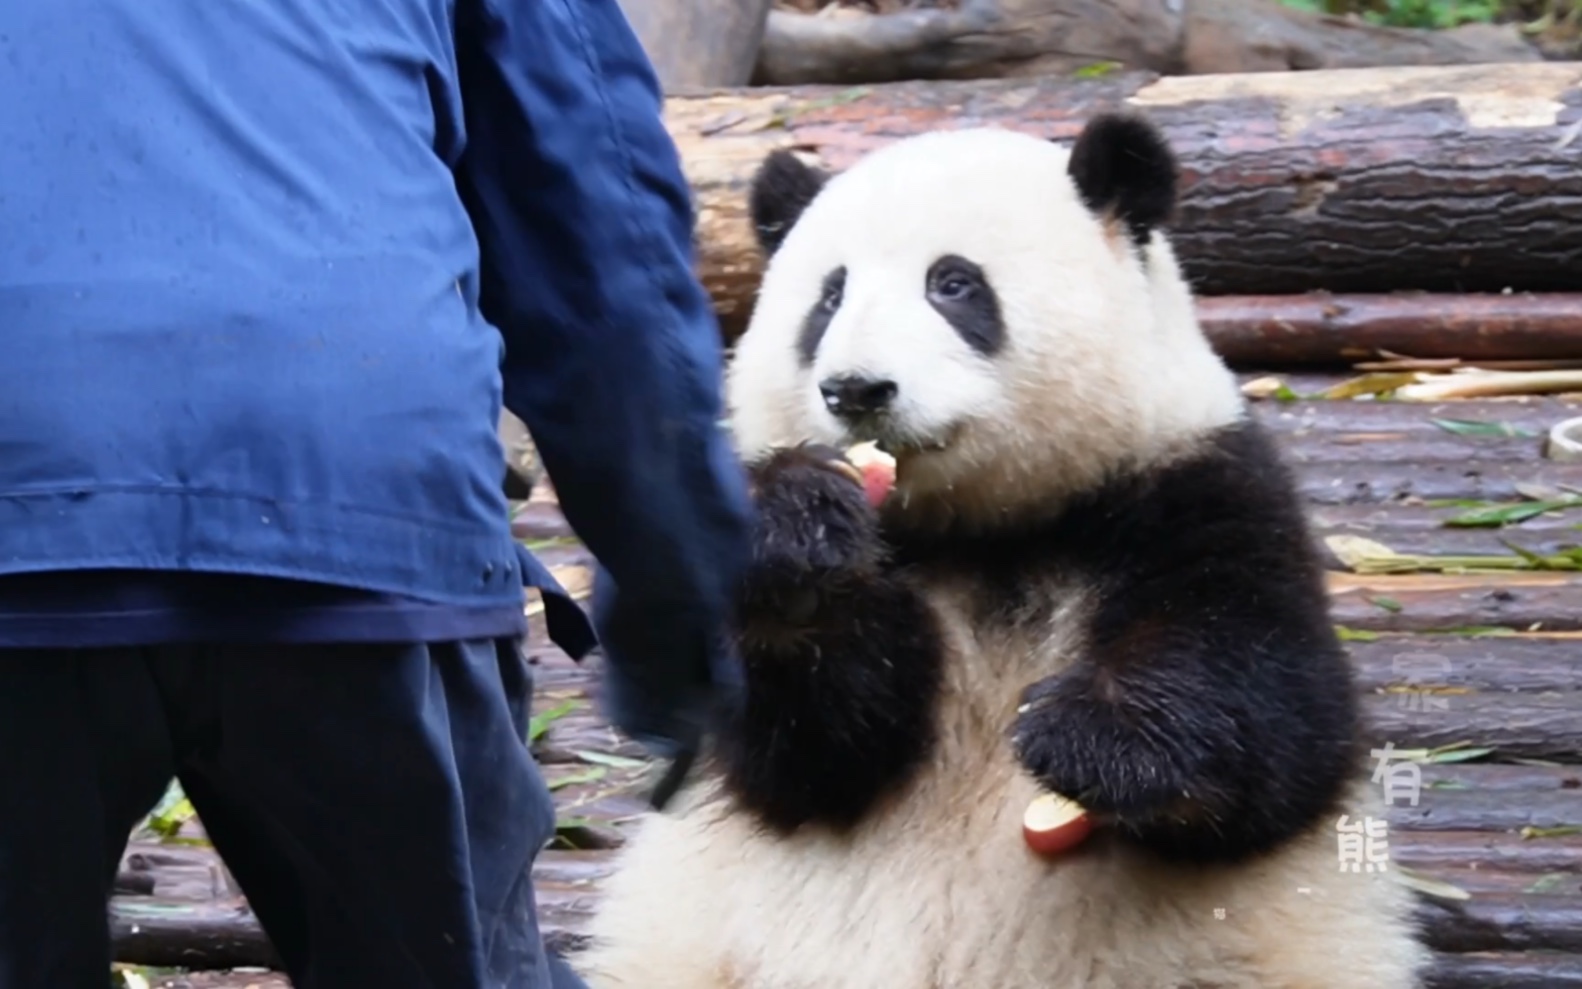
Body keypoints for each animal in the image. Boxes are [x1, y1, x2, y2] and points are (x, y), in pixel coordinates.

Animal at [572, 111, 1436, 981]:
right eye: (829, 296)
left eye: (953, 284)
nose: (856, 388)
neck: (986, 528)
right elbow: (801, 759)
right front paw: (793, 544)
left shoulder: (1194, 482)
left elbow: (1272, 704)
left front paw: (1096, 734)